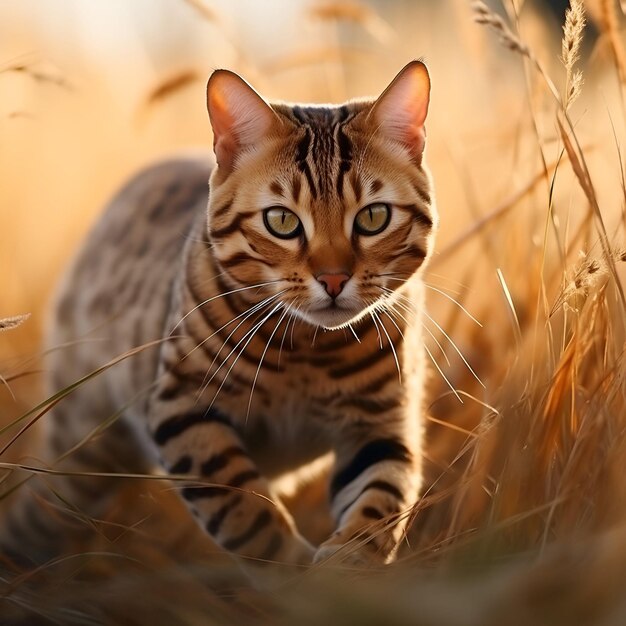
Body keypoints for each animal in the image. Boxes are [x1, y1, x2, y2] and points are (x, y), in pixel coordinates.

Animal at [2, 61, 436, 568]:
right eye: (282, 221)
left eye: (373, 217)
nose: (333, 280)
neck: (308, 351)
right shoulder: (182, 405)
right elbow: (246, 515)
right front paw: (295, 573)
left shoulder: (383, 424)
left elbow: (380, 504)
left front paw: (345, 569)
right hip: (84, 446)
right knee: (37, 517)